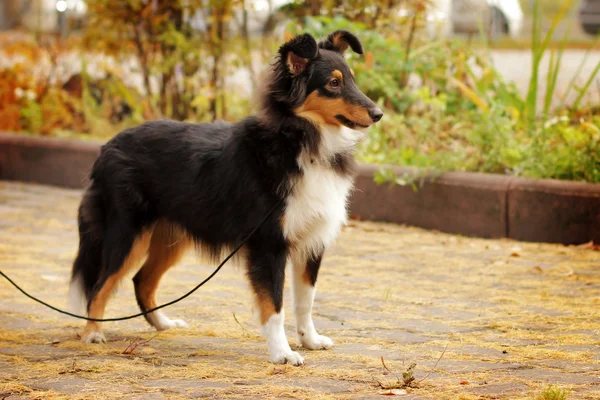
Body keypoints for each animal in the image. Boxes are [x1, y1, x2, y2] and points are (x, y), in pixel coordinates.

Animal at [67, 30, 384, 366]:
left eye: (352, 80)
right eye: (334, 83)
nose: (378, 114)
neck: (301, 142)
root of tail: (107, 146)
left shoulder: (311, 243)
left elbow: (305, 301)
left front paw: (309, 340)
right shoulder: (269, 244)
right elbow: (275, 305)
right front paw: (282, 352)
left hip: (171, 239)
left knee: (141, 281)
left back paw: (163, 324)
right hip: (127, 234)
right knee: (100, 285)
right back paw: (92, 334)